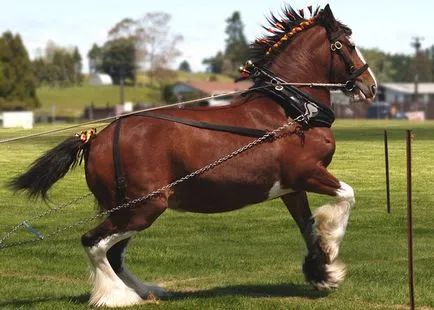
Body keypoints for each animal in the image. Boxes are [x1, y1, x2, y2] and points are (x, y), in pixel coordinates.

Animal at [10, 4, 376, 308]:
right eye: (348, 44)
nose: (371, 86)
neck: (290, 112)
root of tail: (98, 137)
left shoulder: (291, 187)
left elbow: (307, 226)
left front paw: (321, 273)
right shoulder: (307, 173)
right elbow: (346, 197)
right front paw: (331, 246)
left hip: (131, 209)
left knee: (113, 252)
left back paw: (145, 290)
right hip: (145, 206)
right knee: (95, 243)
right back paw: (117, 295)